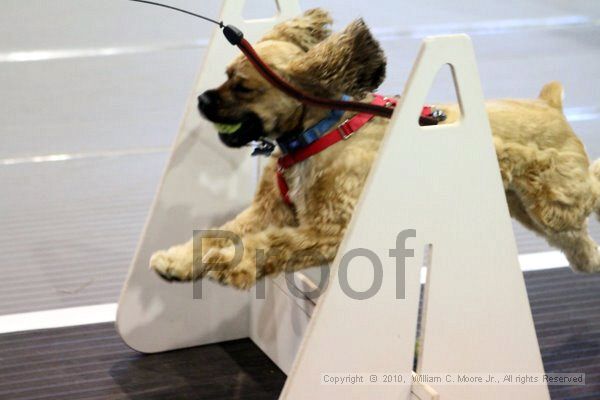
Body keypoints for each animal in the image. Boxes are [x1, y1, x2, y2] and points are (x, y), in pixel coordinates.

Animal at [149, 8, 600, 288]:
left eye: (242, 86)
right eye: (225, 74)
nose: (202, 100)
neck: (318, 133)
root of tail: (549, 104)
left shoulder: (327, 231)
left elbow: (269, 245)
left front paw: (231, 264)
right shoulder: (269, 211)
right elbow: (219, 233)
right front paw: (177, 261)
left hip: (555, 203)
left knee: (592, 187)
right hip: (532, 212)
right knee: (580, 246)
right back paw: (592, 261)